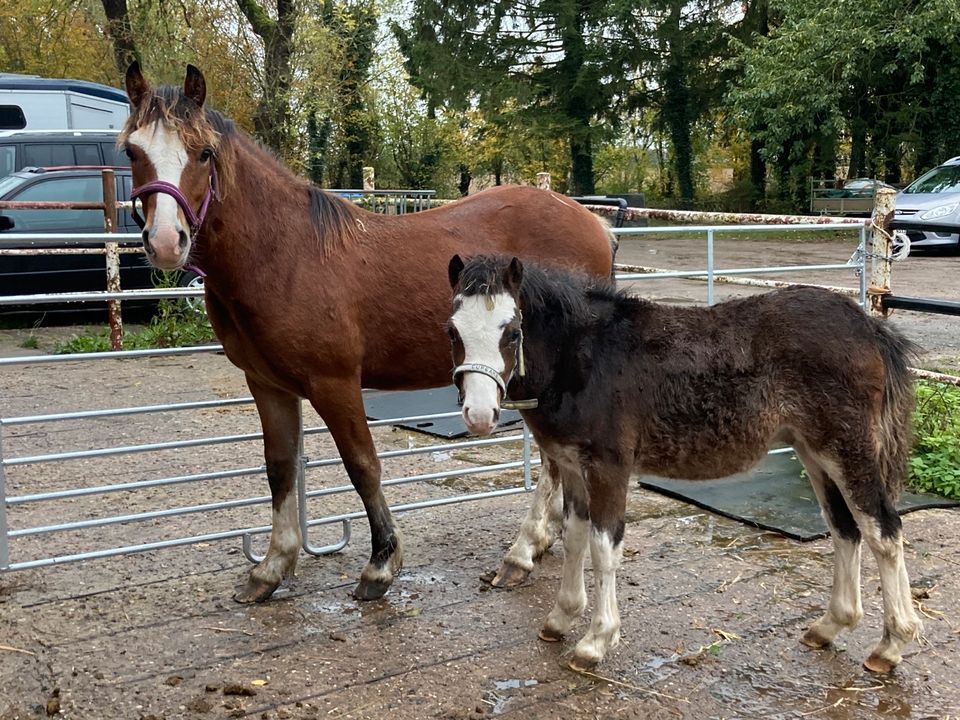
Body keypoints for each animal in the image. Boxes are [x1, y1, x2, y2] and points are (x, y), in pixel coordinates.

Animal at [122, 63, 616, 600]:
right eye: (131, 151)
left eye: (204, 152)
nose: (166, 242)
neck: (285, 254)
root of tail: (593, 222)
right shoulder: (267, 385)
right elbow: (279, 467)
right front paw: (272, 567)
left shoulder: (334, 383)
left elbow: (362, 465)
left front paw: (381, 563)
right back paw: (536, 545)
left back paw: (521, 552)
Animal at [448, 255, 924, 676]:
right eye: (453, 331)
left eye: (512, 332)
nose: (479, 414)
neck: (582, 357)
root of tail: (868, 325)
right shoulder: (570, 466)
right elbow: (575, 538)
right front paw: (560, 619)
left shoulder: (608, 467)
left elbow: (604, 549)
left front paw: (595, 642)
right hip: (814, 452)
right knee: (844, 529)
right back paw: (830, 626)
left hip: (847, 449)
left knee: (883, 531)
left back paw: (890, 645)